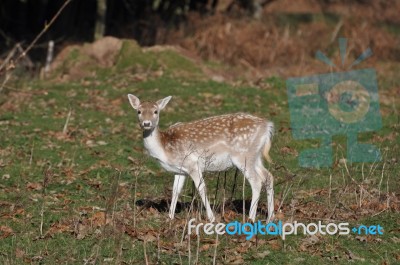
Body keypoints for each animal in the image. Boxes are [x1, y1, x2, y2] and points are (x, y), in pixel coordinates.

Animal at [128, 94, 276, 222]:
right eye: (139, 111)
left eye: (156, 111)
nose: (146, 123)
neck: (165, 148)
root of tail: (267, 126)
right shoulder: (180, 170)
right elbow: (175, 191)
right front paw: (170, 218)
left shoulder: (192, 163)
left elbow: (201, 188)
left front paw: (211, 218)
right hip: (255, 156)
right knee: (268, 176)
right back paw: (270, 217)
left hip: (242, 155)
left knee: (256, 181)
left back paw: (251, 218)